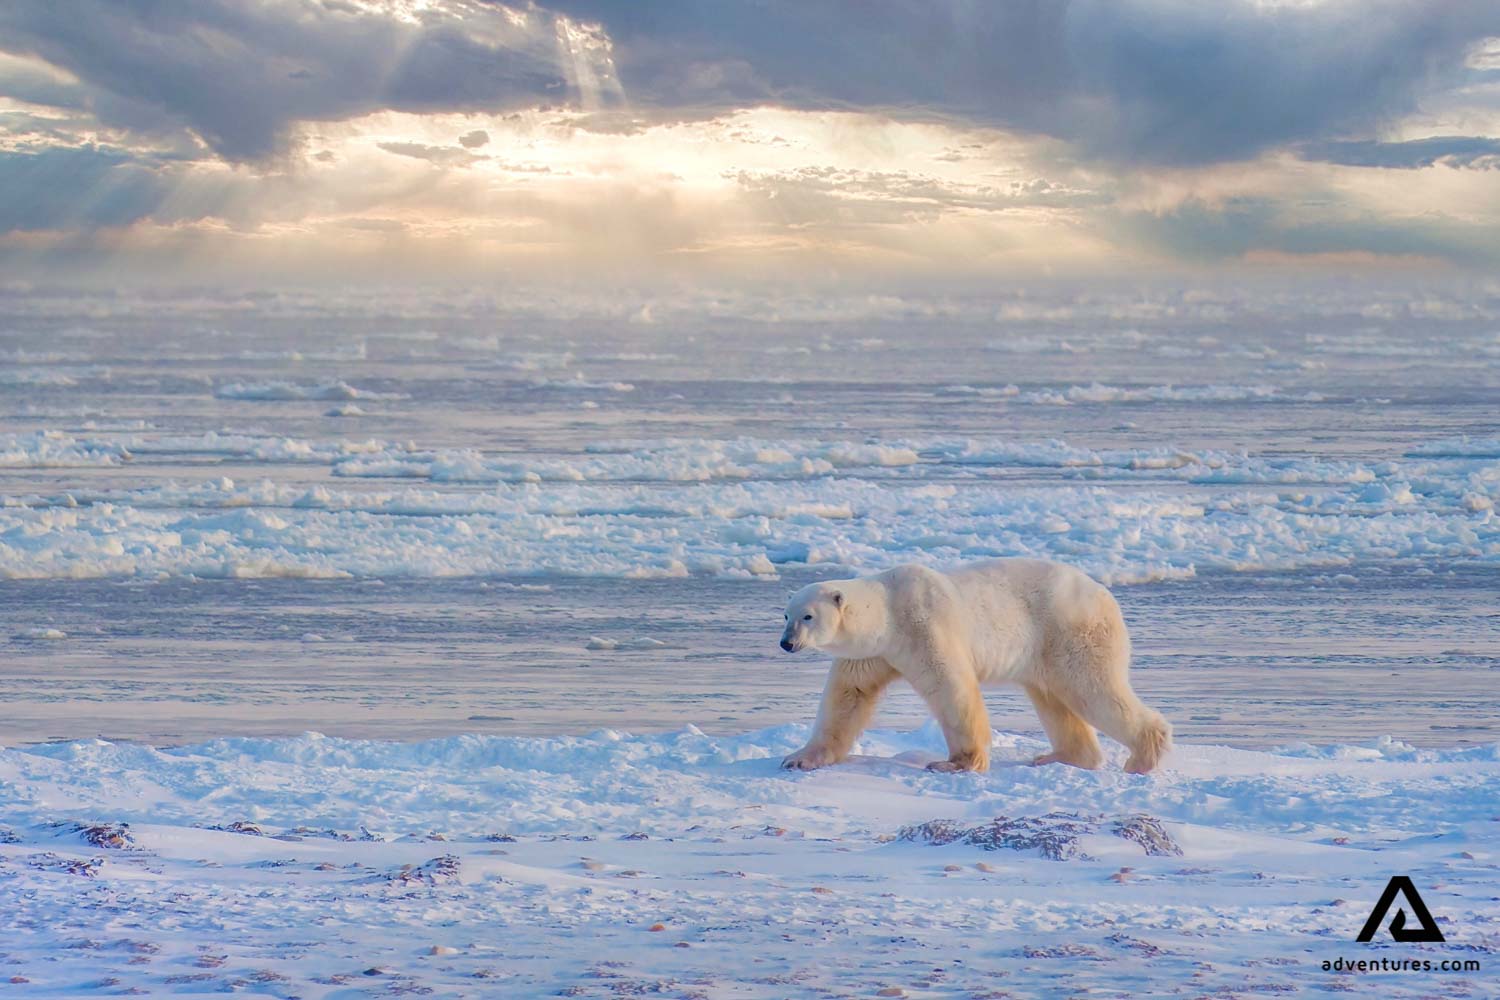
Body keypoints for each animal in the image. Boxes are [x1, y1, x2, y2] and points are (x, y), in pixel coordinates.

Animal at [777, 558, 1171, 774]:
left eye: (807, 616)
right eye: (786, 614)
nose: (786, 643)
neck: (889, 609)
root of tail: (1105, 593)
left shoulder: (925, 626)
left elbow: (951, 688)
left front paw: (956, 763)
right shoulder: (872, 653)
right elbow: (848, 697)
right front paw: (798, 758)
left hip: (1070, 631)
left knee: (1093, 688)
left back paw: (1142, 757)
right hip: (1045, 650)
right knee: (1054, 699)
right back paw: (1058, 756)